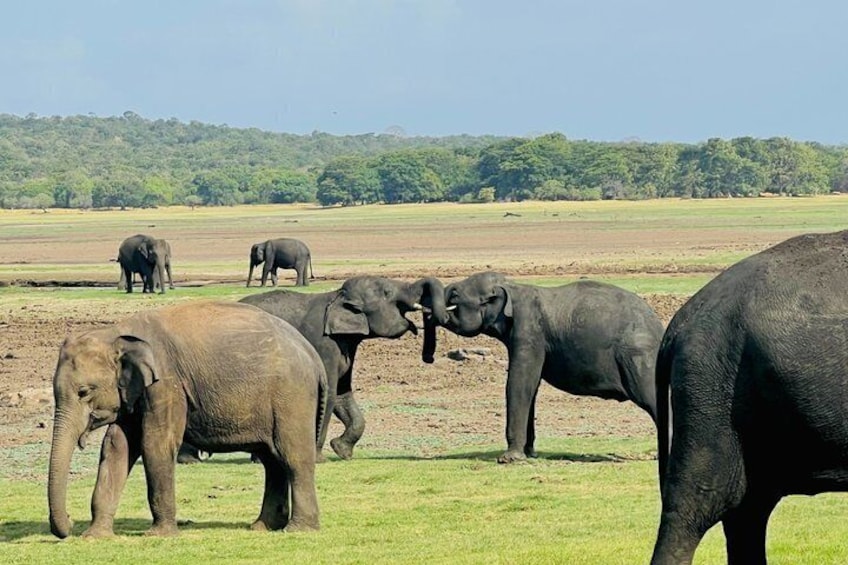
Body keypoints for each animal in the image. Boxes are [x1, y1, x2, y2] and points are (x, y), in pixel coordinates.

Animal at [47, 300, 328, 539]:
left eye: (84, 392)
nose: (70, 522)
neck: (115, 332)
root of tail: (313, 356)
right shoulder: (133, 392)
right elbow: (116, 447)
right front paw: (94, 536)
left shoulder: (167, 383)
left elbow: (155, 444)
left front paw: (159, 535)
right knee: (272, 461)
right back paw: (263, 527)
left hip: (292, 398)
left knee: (293, 458)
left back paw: (298, 530)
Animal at [178, 276, 448, 464]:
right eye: (388, 293)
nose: (428, 357)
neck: (336, 296)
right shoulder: (324, 344)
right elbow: (328, 394)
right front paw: (318, 459)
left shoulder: (345, 348)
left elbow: (342, 394)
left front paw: (342, 451)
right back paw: (190, 460)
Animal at [439, 271, 664, 464]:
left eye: (455, 296)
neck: (513, 287)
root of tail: (660, 328)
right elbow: (531, 388)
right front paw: (529, 455)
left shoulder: (529, 332)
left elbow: (519, 384)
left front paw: (509, 459)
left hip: (638, 357)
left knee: (651, 398)